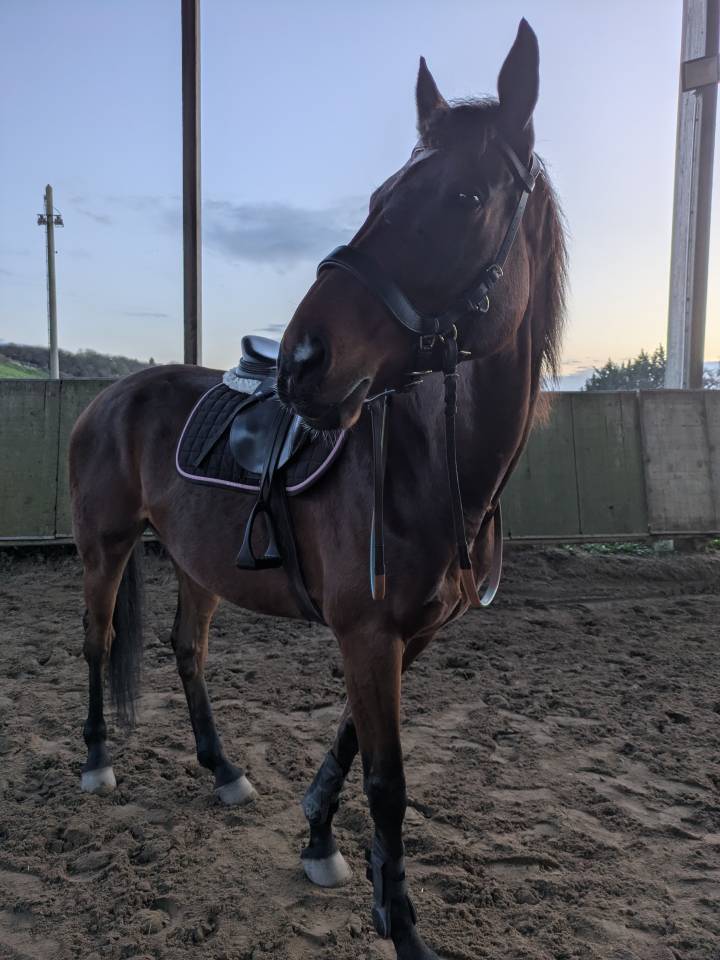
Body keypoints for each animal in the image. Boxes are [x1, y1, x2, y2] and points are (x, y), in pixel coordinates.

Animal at [69, 19, 566, 960]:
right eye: (379, 193)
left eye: (465, 197)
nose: (302, 358)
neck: (428, 463)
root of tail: (112, 395)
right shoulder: (367, 632)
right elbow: (388, 781)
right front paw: (400, 924)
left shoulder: (405, 633)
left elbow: (352, 740)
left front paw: (318, 836)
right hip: (103, 548)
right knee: (95, 642)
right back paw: (96, 761)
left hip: (196, 564)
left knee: (187, 650)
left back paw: (223, 770)